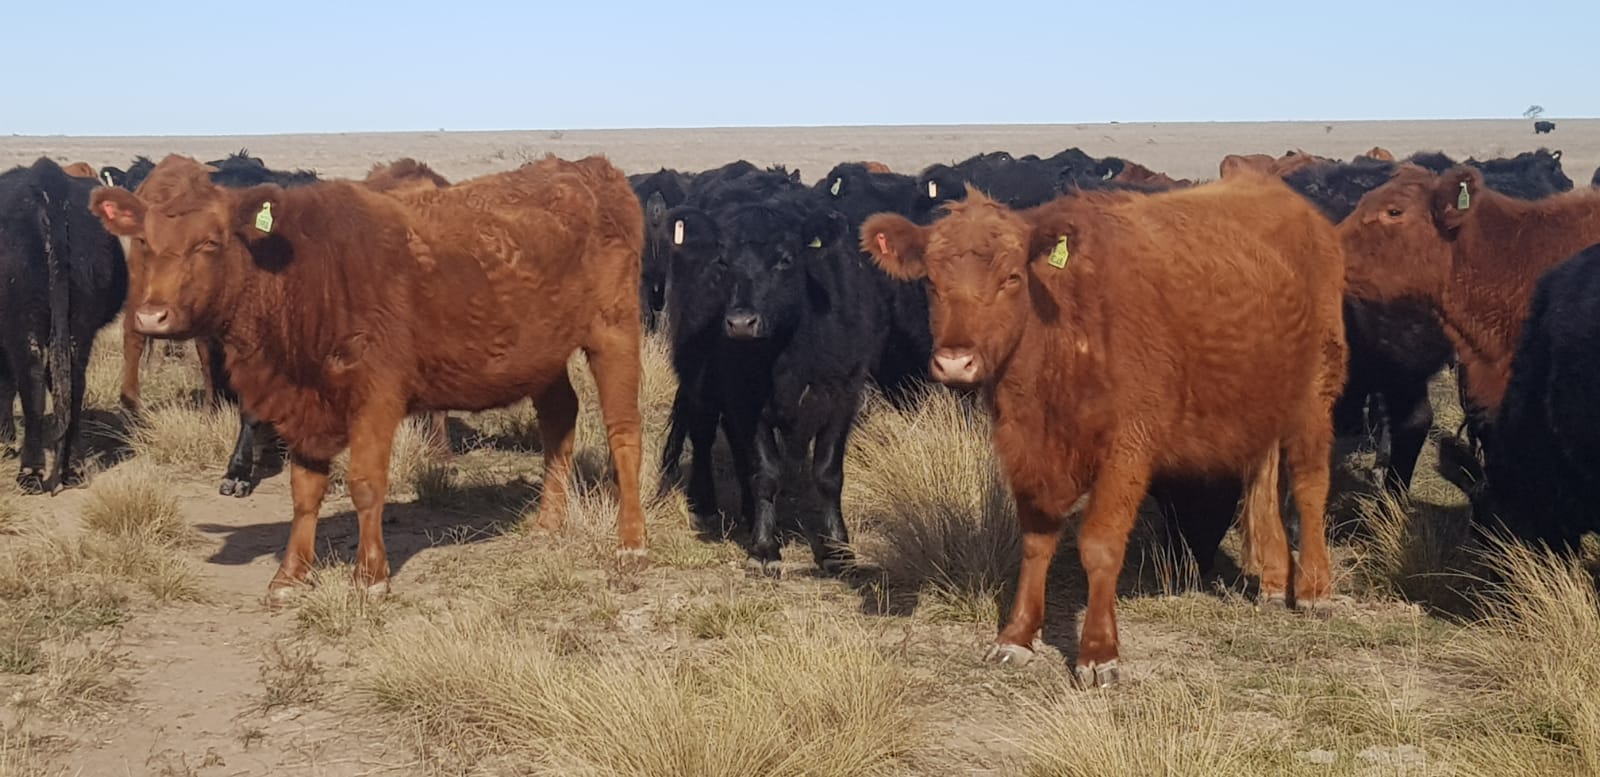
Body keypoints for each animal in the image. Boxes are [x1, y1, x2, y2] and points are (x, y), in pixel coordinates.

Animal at [0, 157, 128, 492]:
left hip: (23, 318)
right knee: (72, 383)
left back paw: (31, 471)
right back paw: (72, 468)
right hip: (80, 319)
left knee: (30, 382)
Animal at [90, 153, 643, 601]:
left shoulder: (376, 396)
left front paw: (370, 576)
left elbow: (365, 484)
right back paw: (548, 523)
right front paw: (290, 576)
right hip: (543, 354)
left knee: (624, 433)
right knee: (560, 420)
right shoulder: (304, 402)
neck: (305, 273)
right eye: (144, 241)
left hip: (614, 331)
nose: (152, 316)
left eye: (210, 242)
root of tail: (590, 169)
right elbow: (305, 490)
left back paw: (631, 542)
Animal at [857, 175, 1344, 687]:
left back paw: (1313, 588)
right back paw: (1272, 579)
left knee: (1310, 484)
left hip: (1317, 391)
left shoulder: (1128, 448)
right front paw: (1017, 635)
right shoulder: (1026, 447)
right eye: (931, 282)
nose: (955, 362)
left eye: (1012, 278)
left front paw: (1097, 653)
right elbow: (1036, 541)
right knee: (1263, 478)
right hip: (1261, 398)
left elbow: (1100, 545)